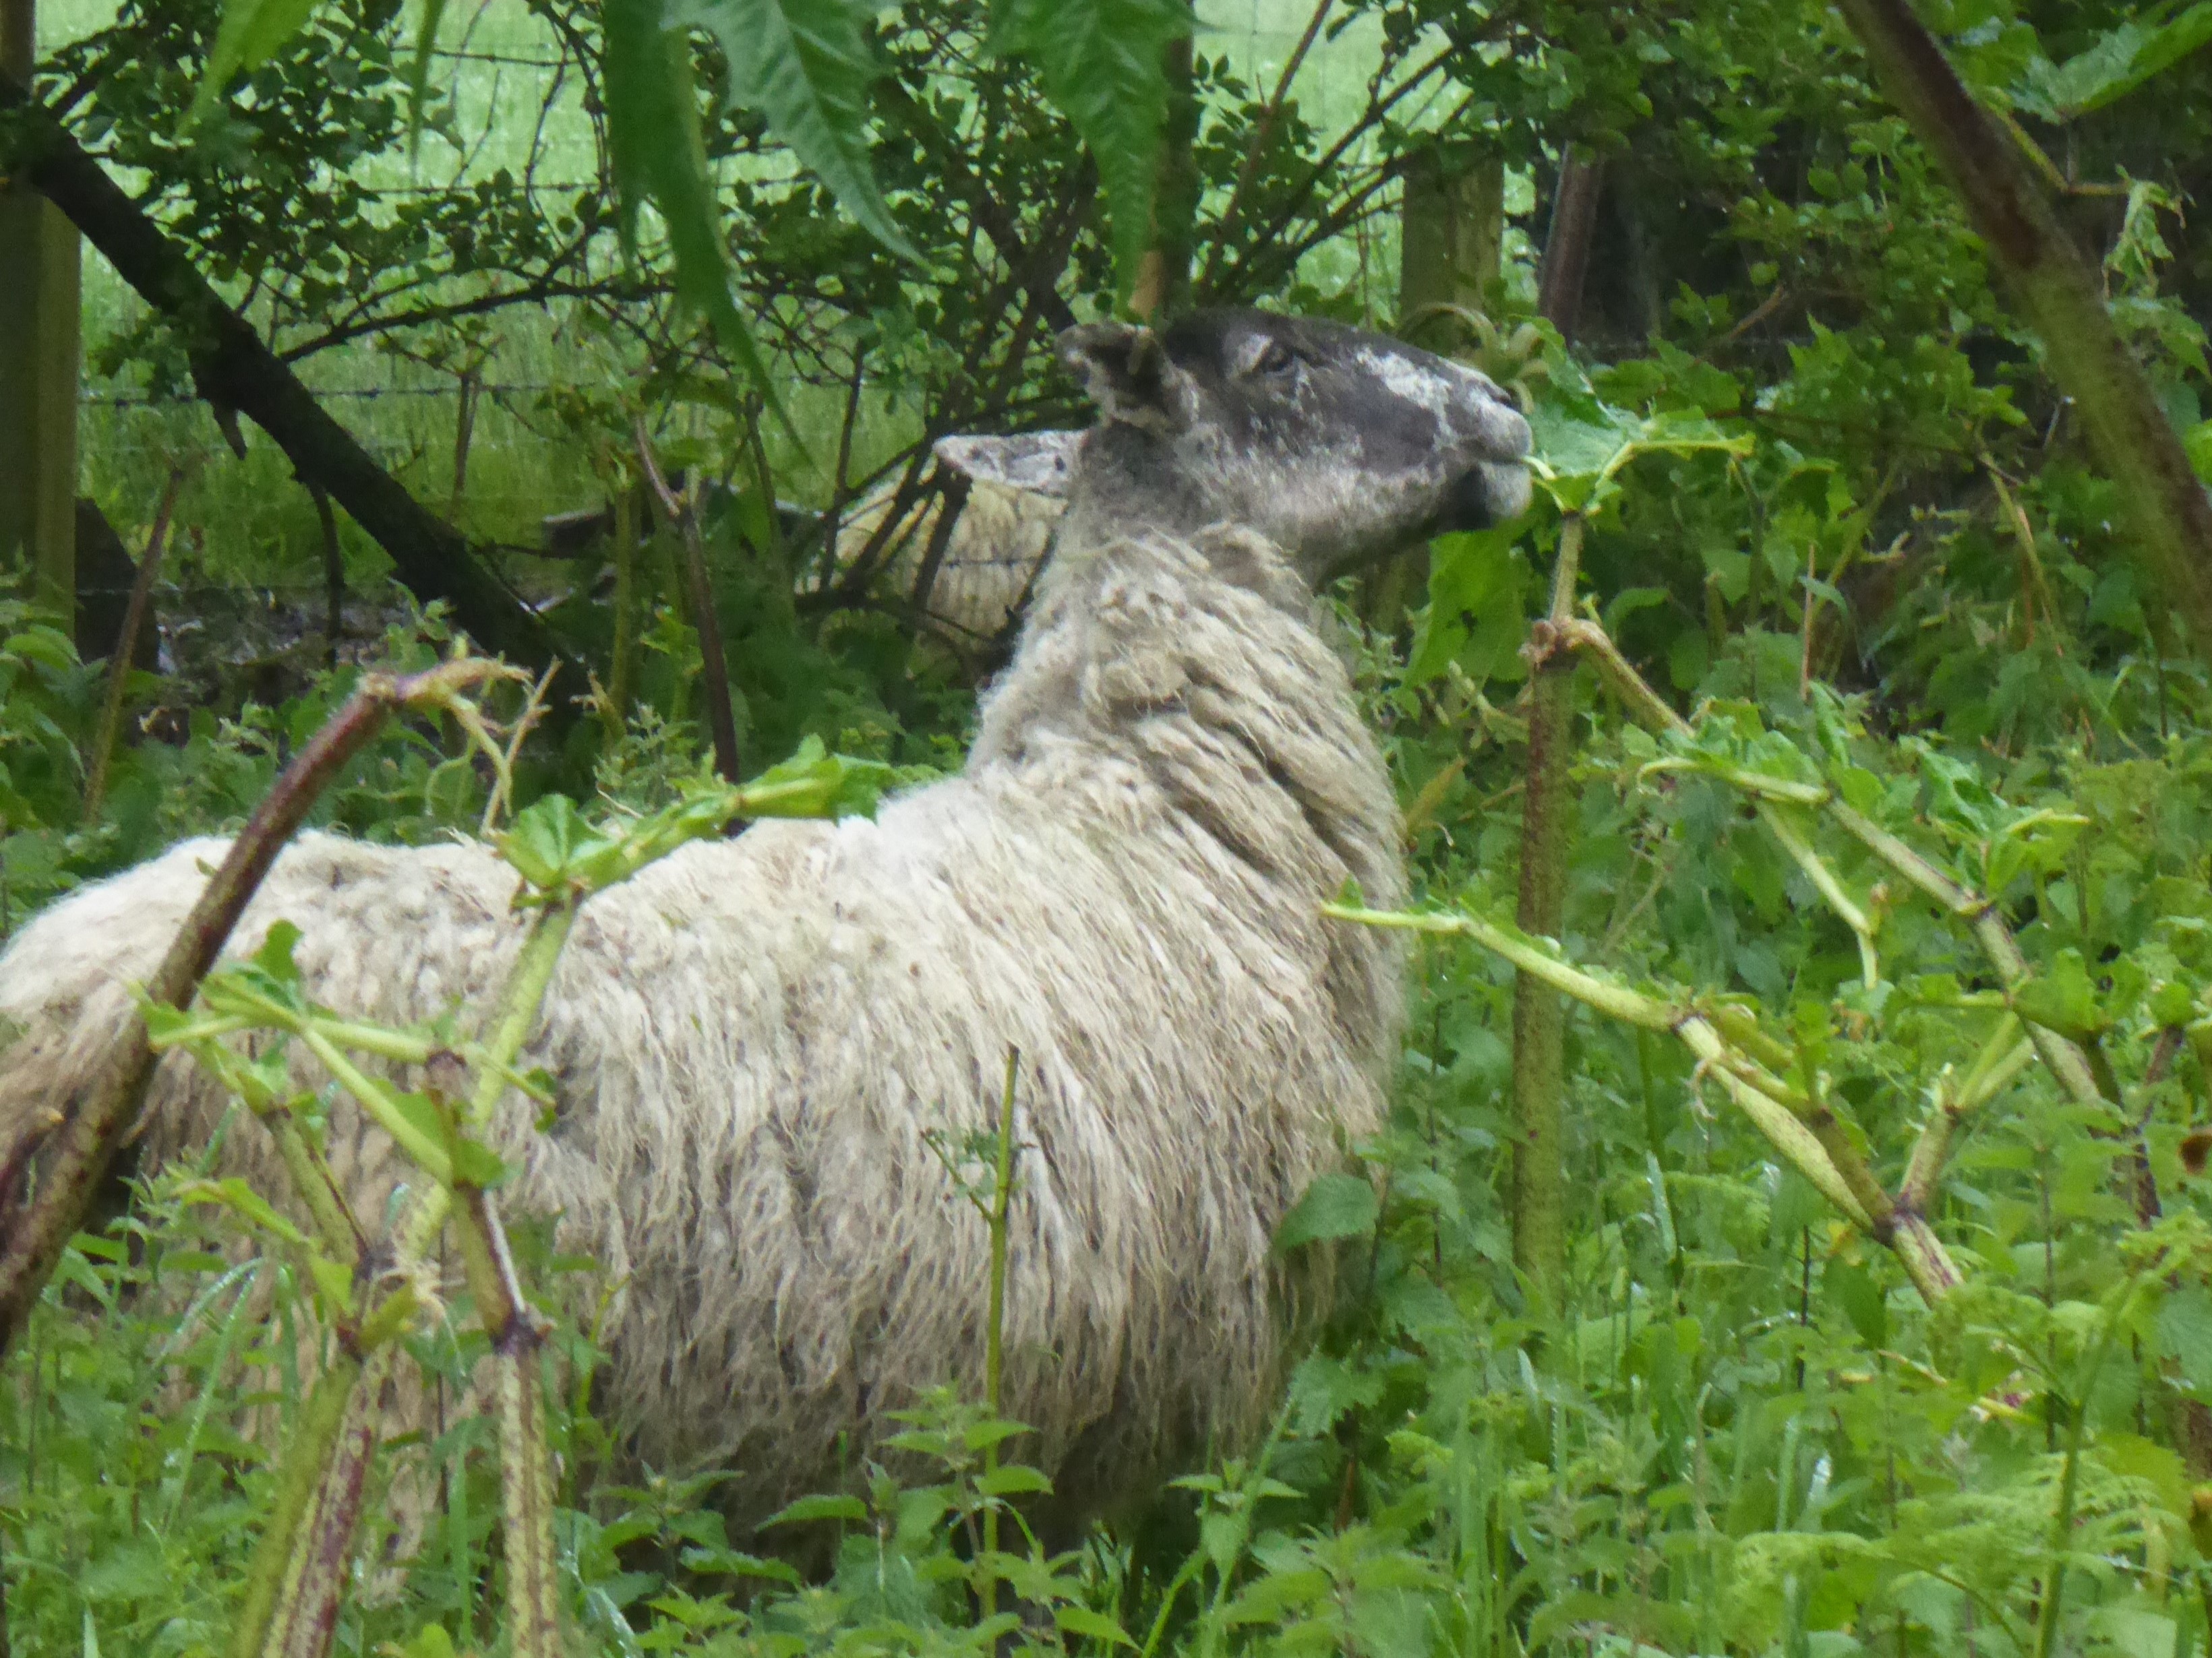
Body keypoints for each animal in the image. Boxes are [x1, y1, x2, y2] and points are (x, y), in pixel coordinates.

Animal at [0, 313, 1522, 1547]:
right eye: (1278, 360)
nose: (1507, 412)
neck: (1132, 805)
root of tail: (87, 1003)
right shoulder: (1114, 1420)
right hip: (326, 1376)